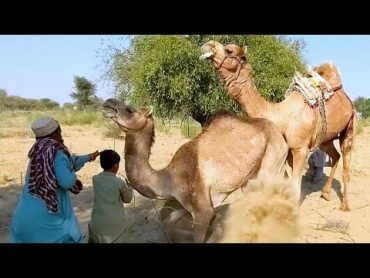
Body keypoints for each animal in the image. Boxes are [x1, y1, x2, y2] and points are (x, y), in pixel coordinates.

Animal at [102, 99, 290, 242]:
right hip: (250, 177)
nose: (108, 103)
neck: (169, 179)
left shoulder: (202, 210)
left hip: (274, 159)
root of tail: (279, 133)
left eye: (130, 110)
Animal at [201, 40, 356, 211]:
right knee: (335, 156)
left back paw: (345, 205)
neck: (281, 116)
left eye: (229, 50)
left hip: (350, 124)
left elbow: (295, 188)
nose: (208, 44)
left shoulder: (300, 149)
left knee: (346, 161)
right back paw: (326, 193)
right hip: (325, 138)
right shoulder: (288, 152)